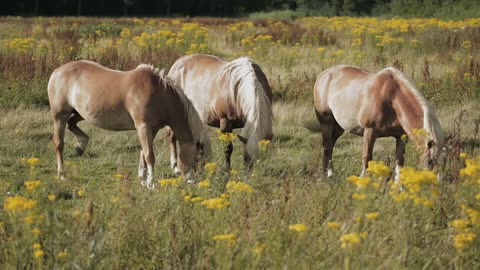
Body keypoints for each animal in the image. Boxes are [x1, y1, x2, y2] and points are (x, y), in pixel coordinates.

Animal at [47, 60, 211, 189]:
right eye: (198, 157)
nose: (194, 181)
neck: (159, 94)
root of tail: (57, 72)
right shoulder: (143, 127)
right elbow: (149, 155)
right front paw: (151, 183)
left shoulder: (152, 129)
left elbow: (143, 153)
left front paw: (143, 179)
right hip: (59, 116)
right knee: (58, 143)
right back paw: (62, 174)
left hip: (80, 113)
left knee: (72, 124)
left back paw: (81, 145)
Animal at [314, 64, 444, 180]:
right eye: (430, 161)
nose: (437, 183)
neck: (392, 98)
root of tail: (323, 74)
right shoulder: (369, 131)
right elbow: (367, 157)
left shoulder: (401, 136)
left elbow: (399, 161)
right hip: (326, 123)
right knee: (328, 147)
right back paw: (330, 175)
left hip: (338, 128)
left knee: (330, 145)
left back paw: (324, 171)